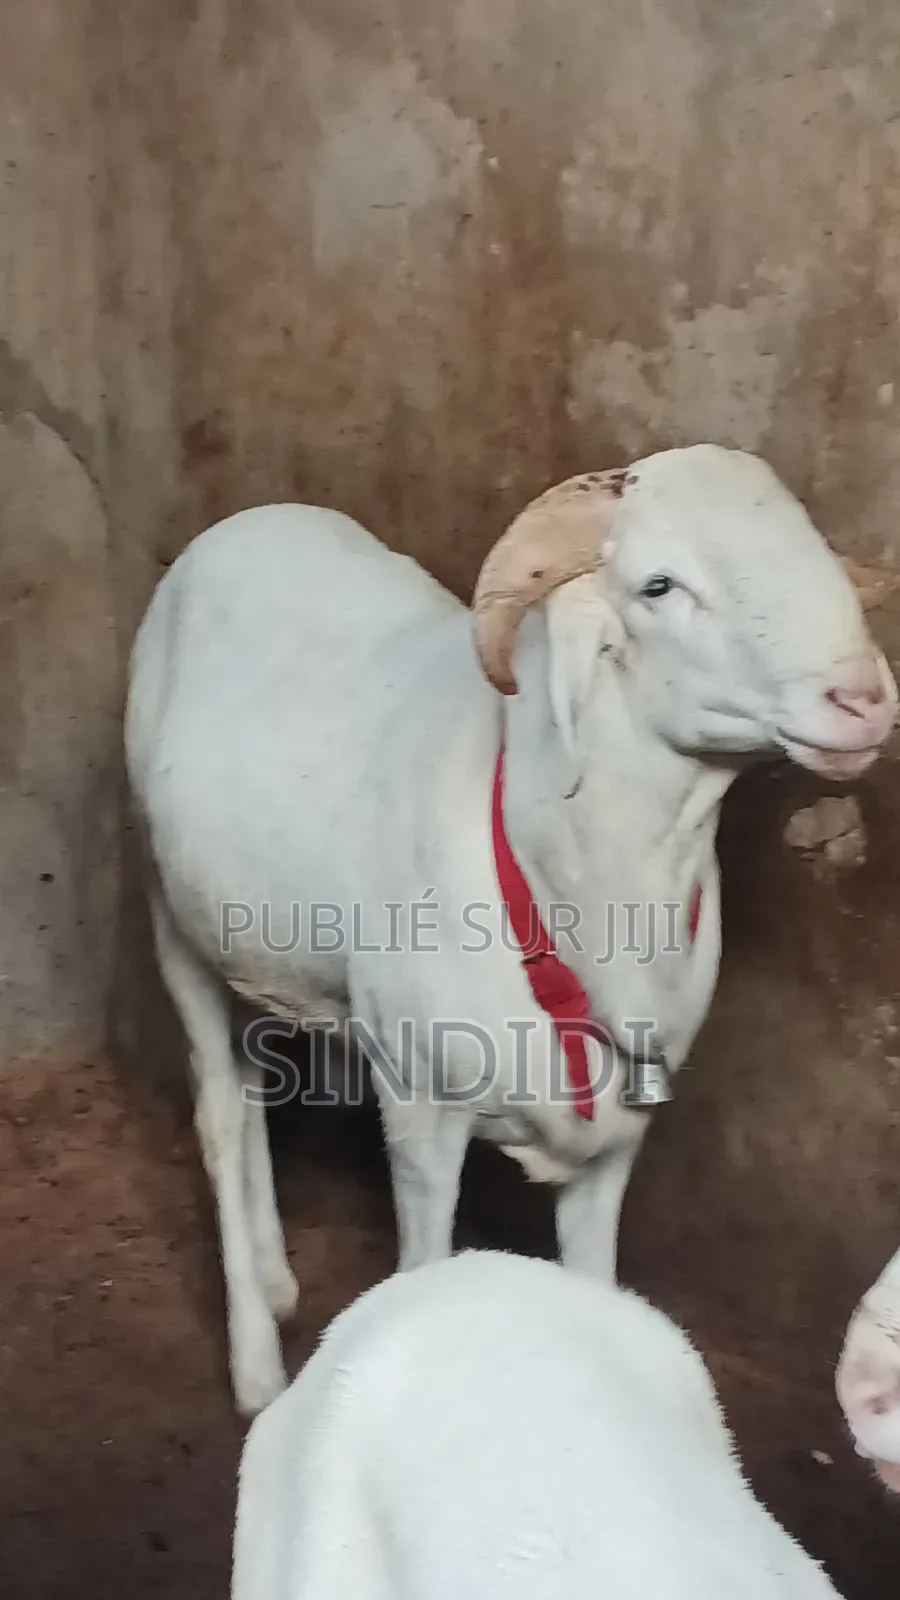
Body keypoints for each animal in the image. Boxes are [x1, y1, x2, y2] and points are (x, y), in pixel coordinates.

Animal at [124, 442, 898, 1415]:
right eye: (659, 586)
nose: (862, 699)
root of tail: (247, 522)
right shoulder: (419, 1110)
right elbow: (421, 1271)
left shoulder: (619, 1140)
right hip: (170, 912)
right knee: (222, 1114)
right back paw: (256, 1363)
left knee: (255, 1079)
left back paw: (275, 1277)